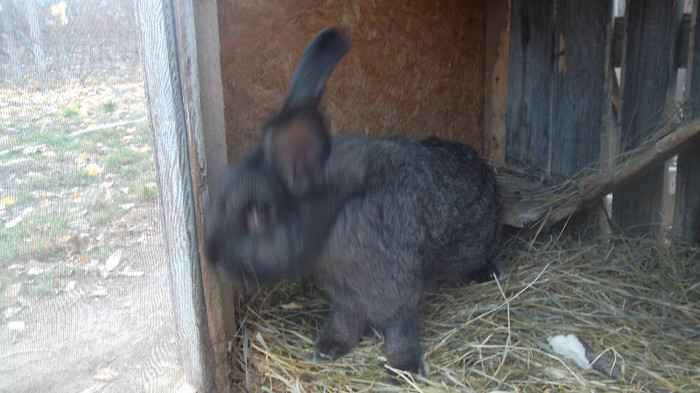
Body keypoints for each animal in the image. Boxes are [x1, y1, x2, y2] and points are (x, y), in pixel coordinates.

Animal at [204, 27, 504, 374]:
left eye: (260, 213)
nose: (212, 255)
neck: (338, 211)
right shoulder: (345, 296)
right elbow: (345, 320)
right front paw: (329, 348)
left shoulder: (398, 289)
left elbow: (400, 327)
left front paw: (404, 365)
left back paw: (486, 272)